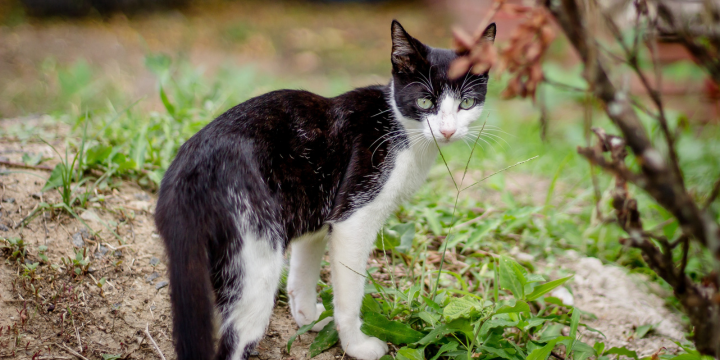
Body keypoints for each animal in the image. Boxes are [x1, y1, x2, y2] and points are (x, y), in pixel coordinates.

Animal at [154, 19, 496, 360]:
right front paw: (356, 344)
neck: (399, 128)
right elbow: (349, 295)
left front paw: (308, 318)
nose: (448, 131)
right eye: (425, 101)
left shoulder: (319, 208)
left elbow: (302, 273)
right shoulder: (352, 215)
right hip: (254, 256)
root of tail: (189, 168)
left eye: (466, 103)